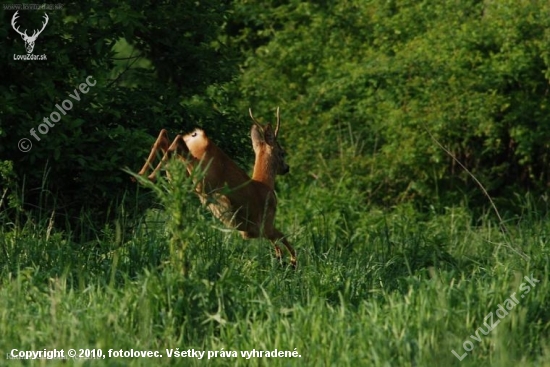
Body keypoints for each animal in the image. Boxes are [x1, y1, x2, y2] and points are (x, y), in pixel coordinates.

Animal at [136, 107, 298, 268]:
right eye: (282, 153)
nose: (287, 168)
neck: (265, 184)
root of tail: (198, 136)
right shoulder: (263, 223)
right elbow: (283, 237)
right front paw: (292, 262)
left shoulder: (253, 230)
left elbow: (277, 242)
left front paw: (281, 259)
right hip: (201, 176)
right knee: (176, 141)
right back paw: (147, 176)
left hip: (180, 172)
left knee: (166, 138)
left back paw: (142, 176)